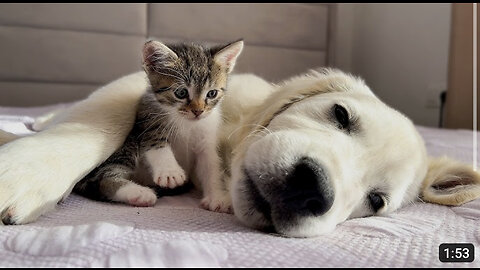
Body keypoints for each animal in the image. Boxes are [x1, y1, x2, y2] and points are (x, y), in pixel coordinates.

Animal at [0, 68, 480, 237]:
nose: (311, 190)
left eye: (376, 201)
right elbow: (98, 124)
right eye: (341, 114)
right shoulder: (143, 90)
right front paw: (24, 174)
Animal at [74, 39, 244, 212]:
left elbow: (211, 167)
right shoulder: (146, 120)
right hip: (126, 146)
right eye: (181, 93)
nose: (198, 111)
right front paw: (170, 172)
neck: (186, 123)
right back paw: (139, 193)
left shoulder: (206, 140)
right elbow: (155, 142)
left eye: (212, 93)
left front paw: (217, 196)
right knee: (102, 178)